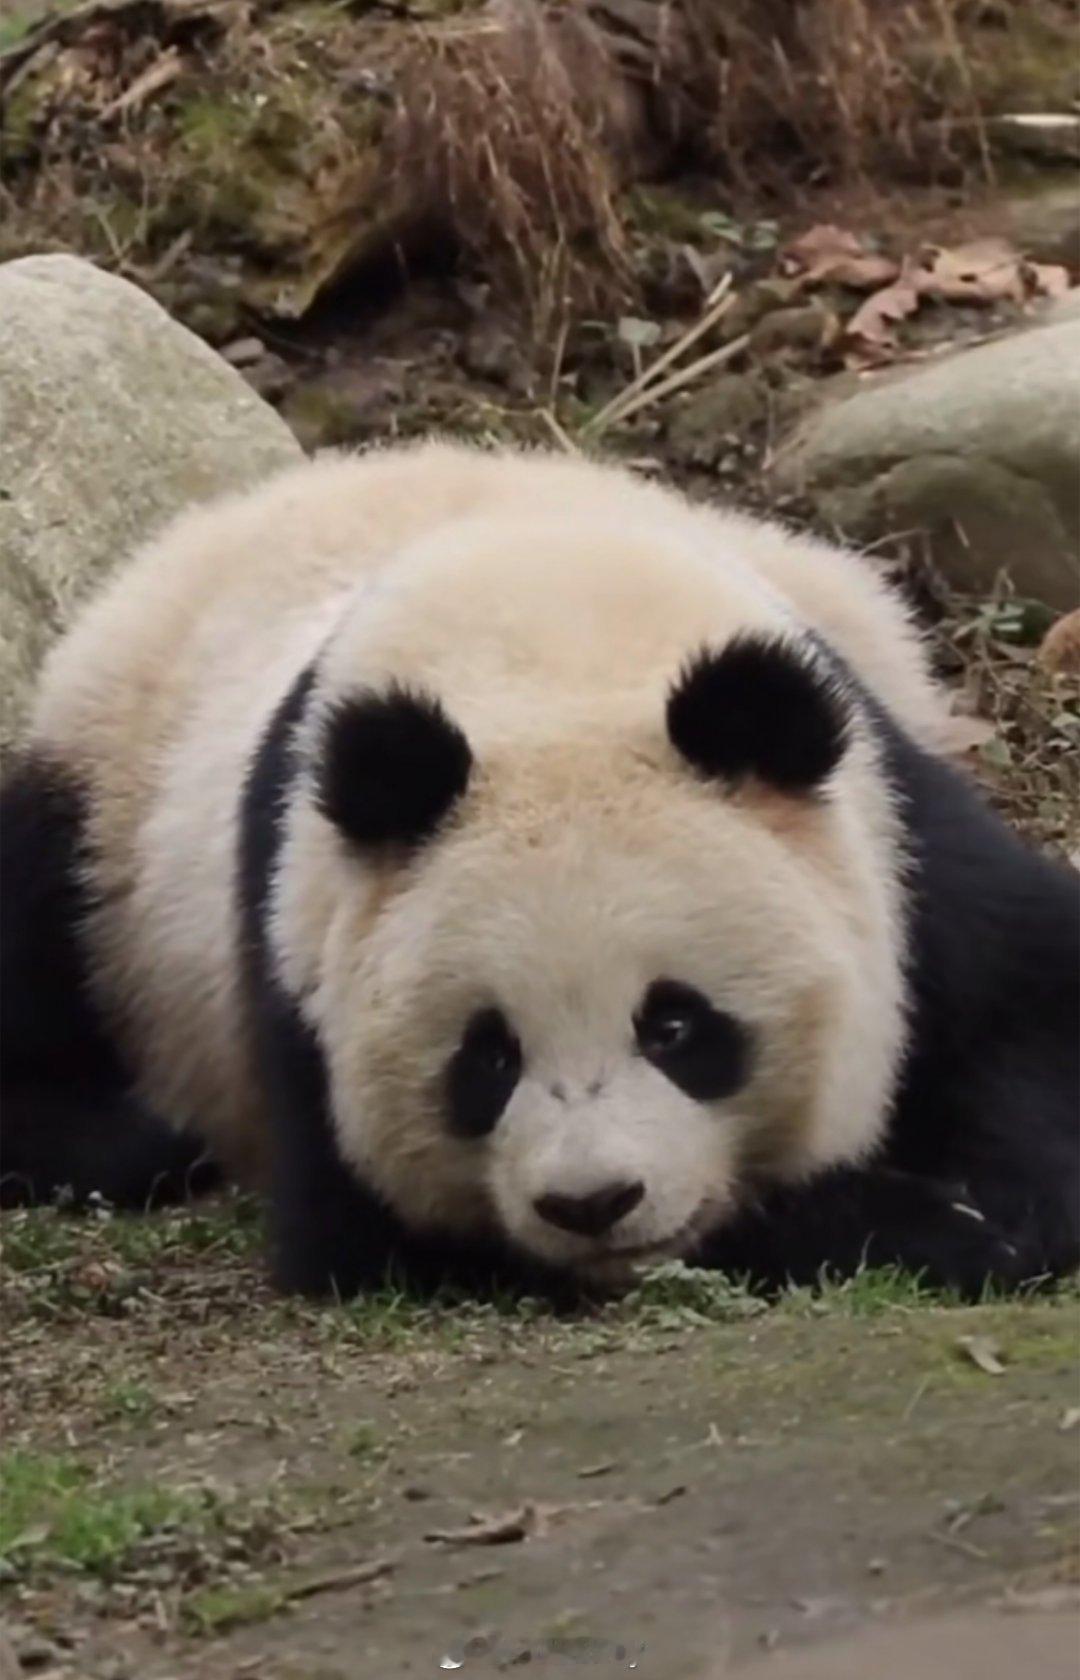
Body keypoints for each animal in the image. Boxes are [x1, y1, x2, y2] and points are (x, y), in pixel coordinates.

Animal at [2, 446, 1080, 1296]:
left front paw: (969, 1209)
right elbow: (368, 1232)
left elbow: (1031, 1007)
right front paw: (887, 1215)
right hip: (109, 808)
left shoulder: (893, 820)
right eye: (487, 1055)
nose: (592, 1203)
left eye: (676, 1024)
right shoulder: (300, 938)